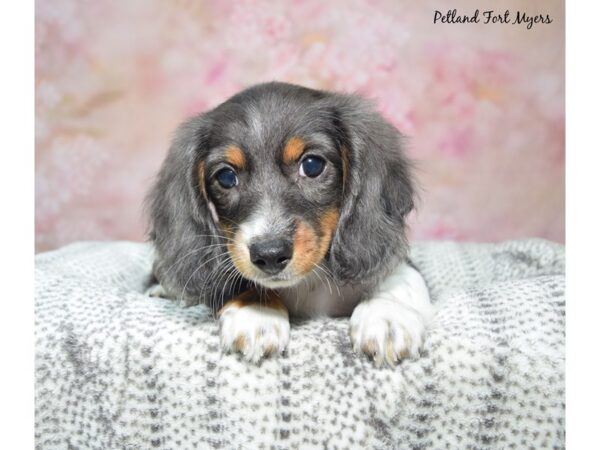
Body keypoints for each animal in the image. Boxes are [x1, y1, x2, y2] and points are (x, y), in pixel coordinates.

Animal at [148, 82, 434, 368]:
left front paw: (388, 316)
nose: (270, 255)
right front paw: (257, 311)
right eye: (226, 177)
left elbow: (401, 277)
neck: (308, 283)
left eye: (312, 165)